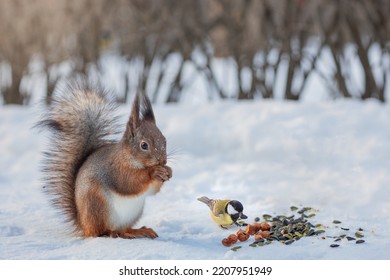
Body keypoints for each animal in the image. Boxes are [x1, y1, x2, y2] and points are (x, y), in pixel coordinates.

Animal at [37, 81, 172, 238]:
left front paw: (168, 171)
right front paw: (154, 172)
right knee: (99, 231)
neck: (129, 158)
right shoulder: (115, 169)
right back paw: (111, 233)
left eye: (165, 140)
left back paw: (138, 231)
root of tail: (83, 224)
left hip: (133, 213)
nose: (162, 161)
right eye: (144, 145)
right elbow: (129, 182)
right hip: (98, 206)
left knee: (124, 229)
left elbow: (151, 191)